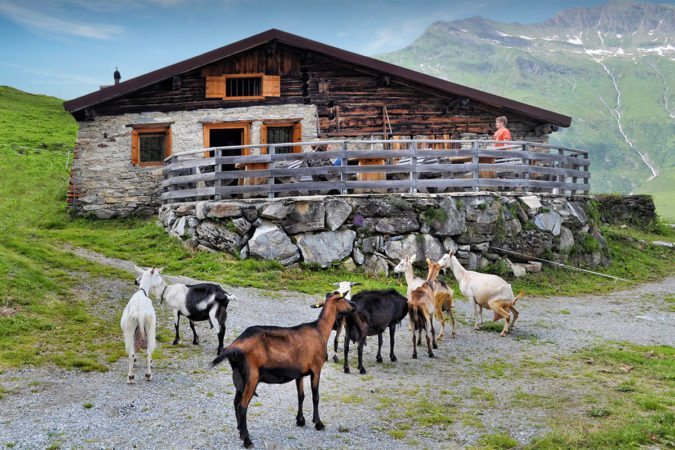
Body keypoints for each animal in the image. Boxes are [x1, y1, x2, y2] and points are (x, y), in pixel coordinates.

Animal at [214, 292, 356, 446]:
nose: (354, 305)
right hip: (252, 376)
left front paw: (300, 420)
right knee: (242, 405)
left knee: (236, 402)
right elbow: (315, 397)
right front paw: (318, 423)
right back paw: (247, 440)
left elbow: (301, 396)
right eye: (344, 298)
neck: (320, 331)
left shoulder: (300, 373)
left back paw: (241, 432)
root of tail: (234, 346)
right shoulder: (316, 369)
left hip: (240, 376)